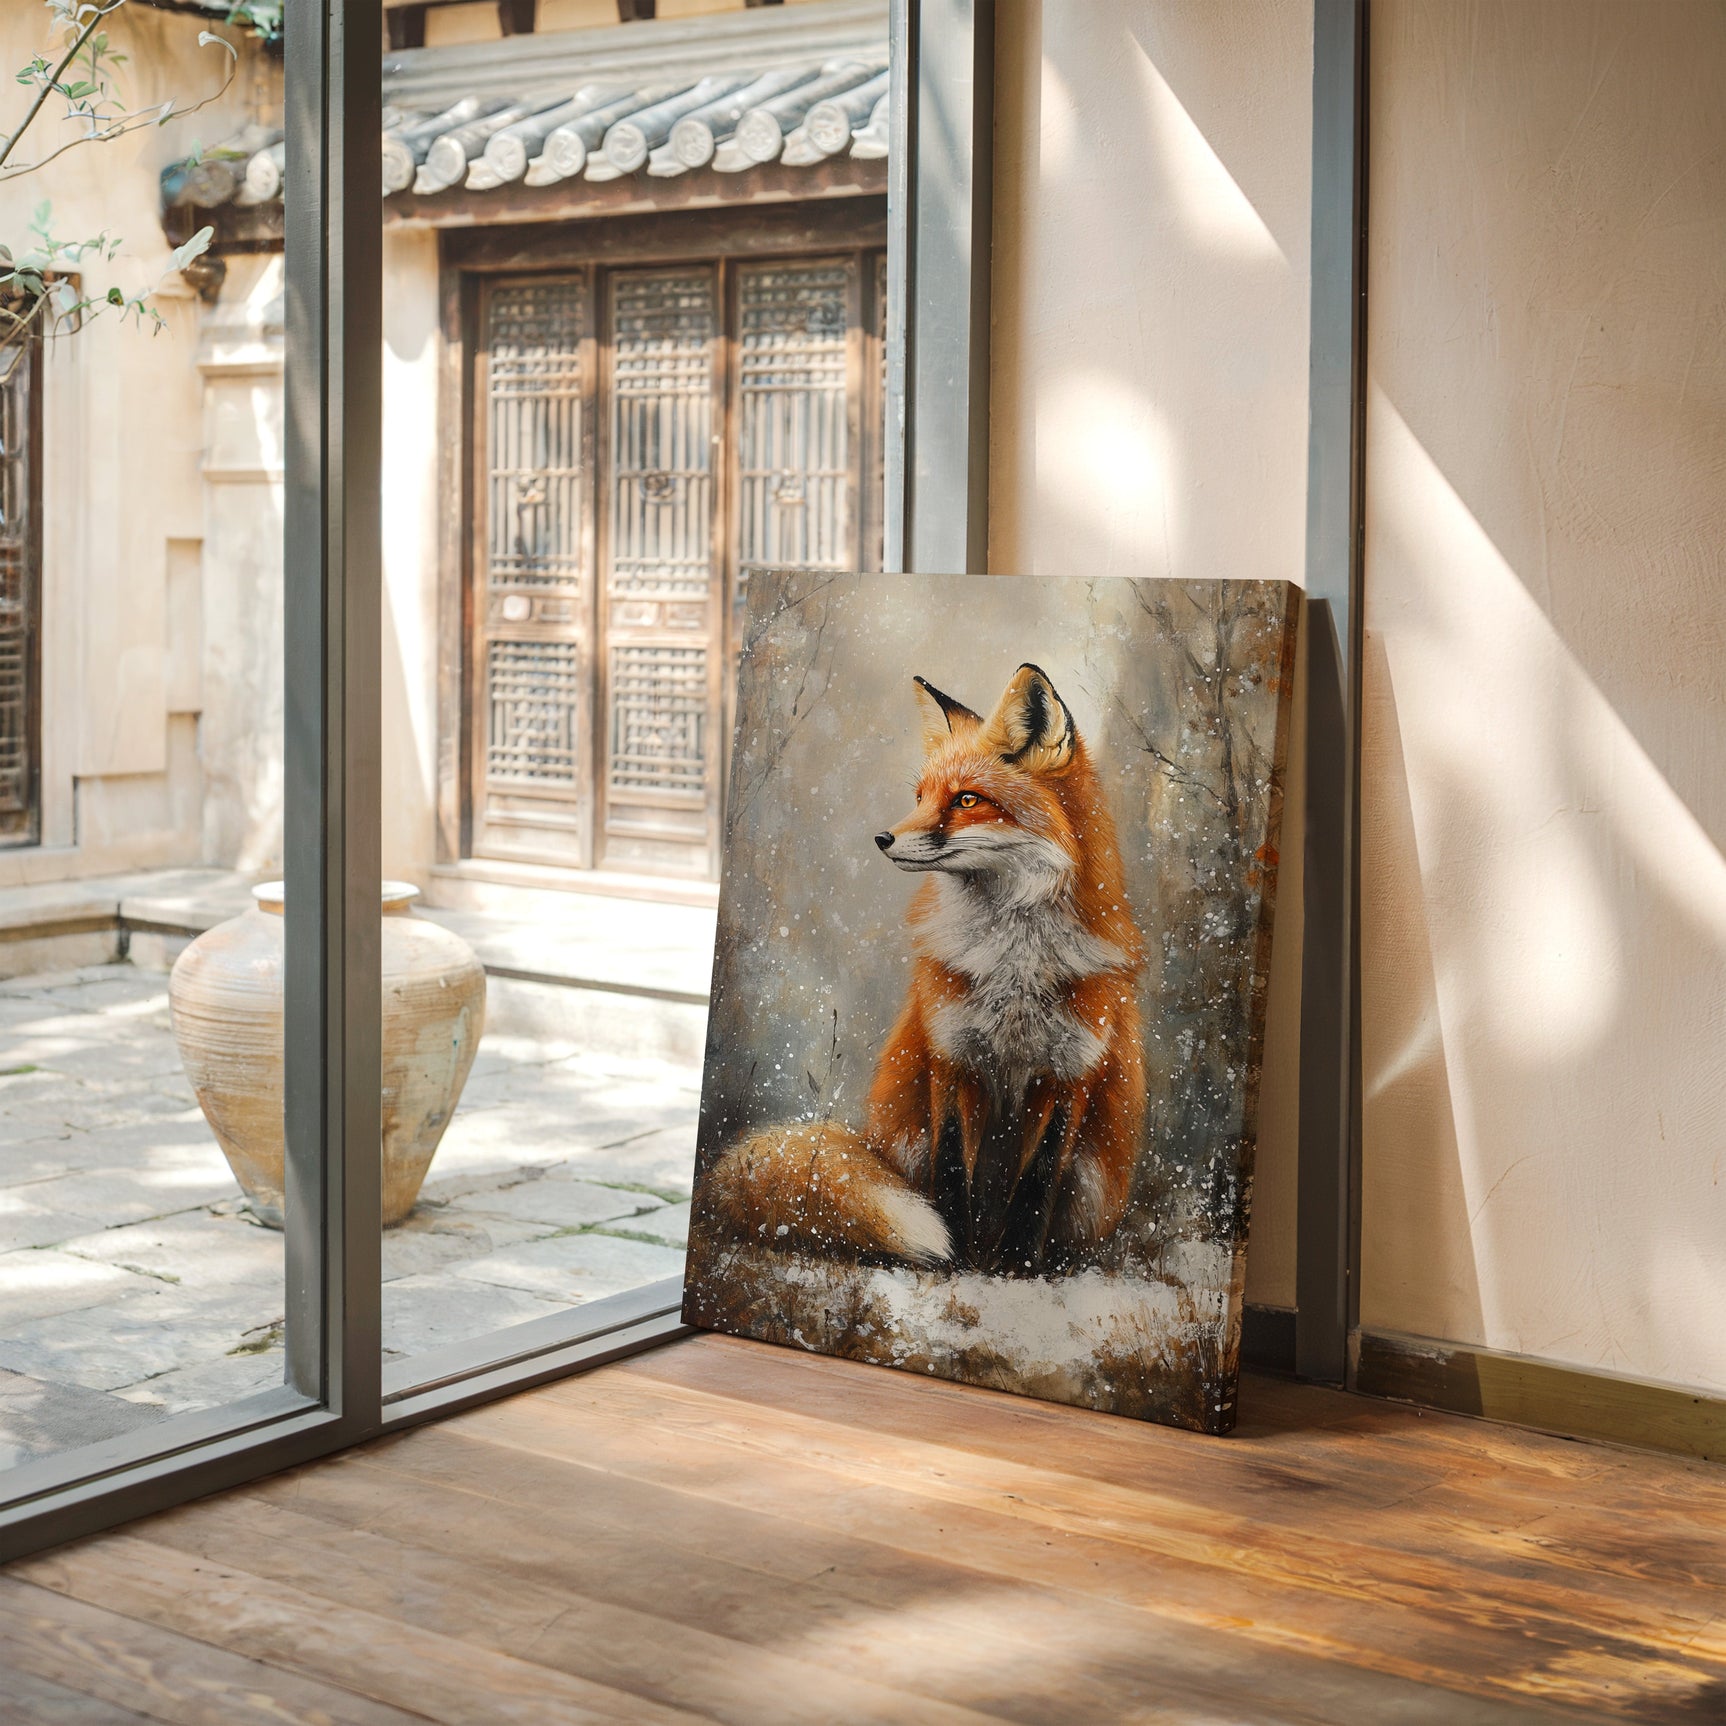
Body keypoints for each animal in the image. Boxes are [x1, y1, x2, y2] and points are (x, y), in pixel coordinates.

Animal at [698, 663, 1147, 1275]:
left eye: (966, 799)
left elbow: (1036, 1184)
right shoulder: (951, 1056)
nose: (882, 837)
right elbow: (952, 1169)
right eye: (919, 796)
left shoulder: (1071, 1073)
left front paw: (1017, 1267)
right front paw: (957, 1256)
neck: (1015, 962)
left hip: (1096, 1176)